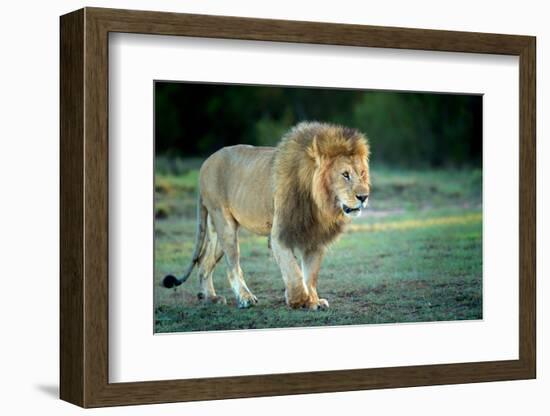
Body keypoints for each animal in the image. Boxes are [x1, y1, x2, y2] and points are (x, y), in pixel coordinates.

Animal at [163, 120, 370, 308]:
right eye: (345, 175)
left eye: (361, 173)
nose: (364, 196)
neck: (319, 204)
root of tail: (205, 163)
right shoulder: (279, 234)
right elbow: (293, 270)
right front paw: (300, 300)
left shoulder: (315, 238)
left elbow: (310, 274)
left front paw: (313, 300)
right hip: (224, 223)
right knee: (232, 265)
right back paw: (245, 298)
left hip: (216, 230)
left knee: (204, 263)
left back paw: (211, 298)